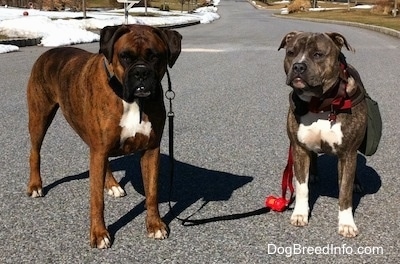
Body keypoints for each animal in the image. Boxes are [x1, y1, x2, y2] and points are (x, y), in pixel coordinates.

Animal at [27, 24, 183, 248]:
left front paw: (155, 225)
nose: (141, 72)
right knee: (35, 152)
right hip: (40, 117)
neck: (132, 101)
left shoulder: (151, 150)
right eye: (125, 56)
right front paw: (99, 234)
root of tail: (49, 52)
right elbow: (96, 200)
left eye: (155, 56)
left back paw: (112, 185)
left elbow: (152, 192)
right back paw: (35, 185)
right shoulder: (99, 150)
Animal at [278, 31, 368, 237]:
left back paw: (357, 183)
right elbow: (301, 187)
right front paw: (300, 214)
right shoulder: (299, 149)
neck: (319, 104)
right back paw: (313, 173)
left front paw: (346, 223)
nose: (298, 66)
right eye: (291, 52)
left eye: (318, 54)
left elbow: (344, 192)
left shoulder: (347, 154)